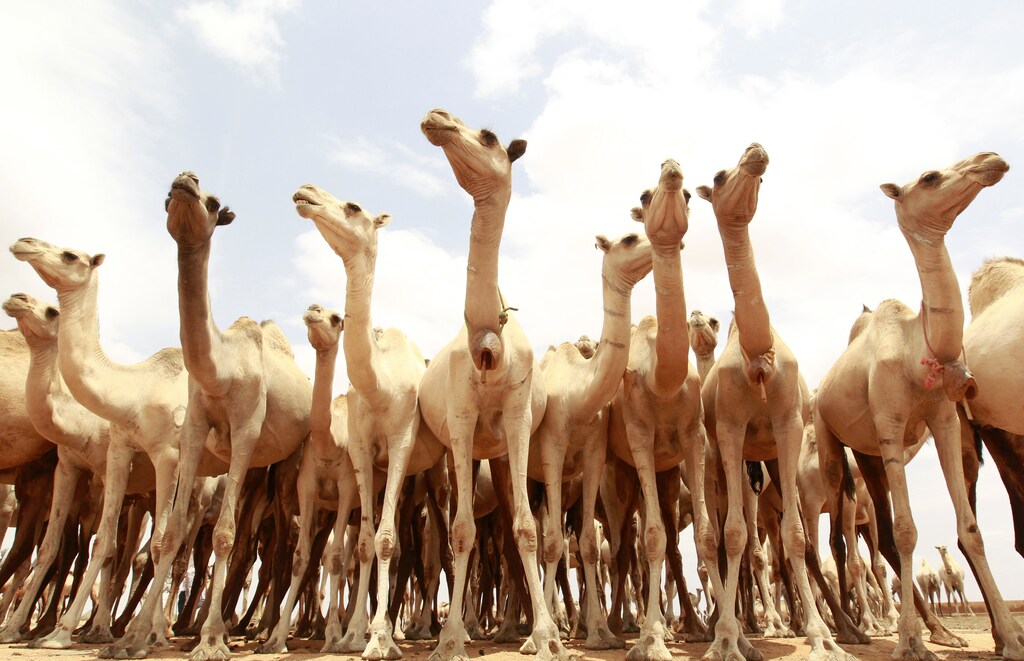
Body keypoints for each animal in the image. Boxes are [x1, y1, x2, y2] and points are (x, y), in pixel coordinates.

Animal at [291, 186, 446, 658]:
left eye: (354, 207)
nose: (305, 194)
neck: (379, 385)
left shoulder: (401, 439)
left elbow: (385, 540)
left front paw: (378, 639)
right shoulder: (360, 453)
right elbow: (362, 545)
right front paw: (351, 634)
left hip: (435, 474)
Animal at [419, 109, 570, 661]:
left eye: (487, 136)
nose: (437, 118)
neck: (490, 344)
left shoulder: (518, 418)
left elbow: (526, 529)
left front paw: (545, 638)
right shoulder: (461, 421)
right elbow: (461, 531)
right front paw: (450, 638)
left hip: (503, 452)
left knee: (511, 527)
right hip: (456, 455)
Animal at [527, 230, 654, 650]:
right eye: (629, 238)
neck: (580, 398)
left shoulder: (594, 455)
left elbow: (586, 547)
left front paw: (601, 633)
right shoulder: (552, 448)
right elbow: (552, 543)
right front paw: (546, 636)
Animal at [813, 152, 1024, 661]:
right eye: (929, 177)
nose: (991, 160)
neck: (914, 346)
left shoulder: (944, 419)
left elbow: (971, 530)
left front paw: (1009, 638)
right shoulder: (890, 421)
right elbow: (908, 530)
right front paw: (908, 642)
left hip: (868, 453)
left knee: (880, 534)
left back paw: (937, 630)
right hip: (831, 442)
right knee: (840, 539)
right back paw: (853, 628)